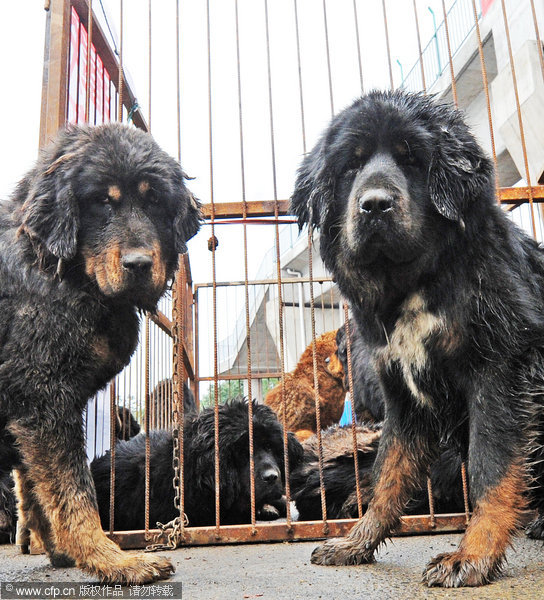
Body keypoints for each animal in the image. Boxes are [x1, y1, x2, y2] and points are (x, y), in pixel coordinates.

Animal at [0, 123, 201, 584]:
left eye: (154, 201)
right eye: (101, 203)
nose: (139, 263)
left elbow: (40, 493)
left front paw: (63, 551)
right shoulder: (42, 397)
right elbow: (75, 492)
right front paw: (113, 560)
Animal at [292, 91, 544, 588]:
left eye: (412, 159)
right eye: (351, 165)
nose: (374, 205)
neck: (413, 284)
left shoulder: (500, 374)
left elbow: (489, 468)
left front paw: (473, 554)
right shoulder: (401, 394)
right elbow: (387, 474)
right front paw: (358, 541)